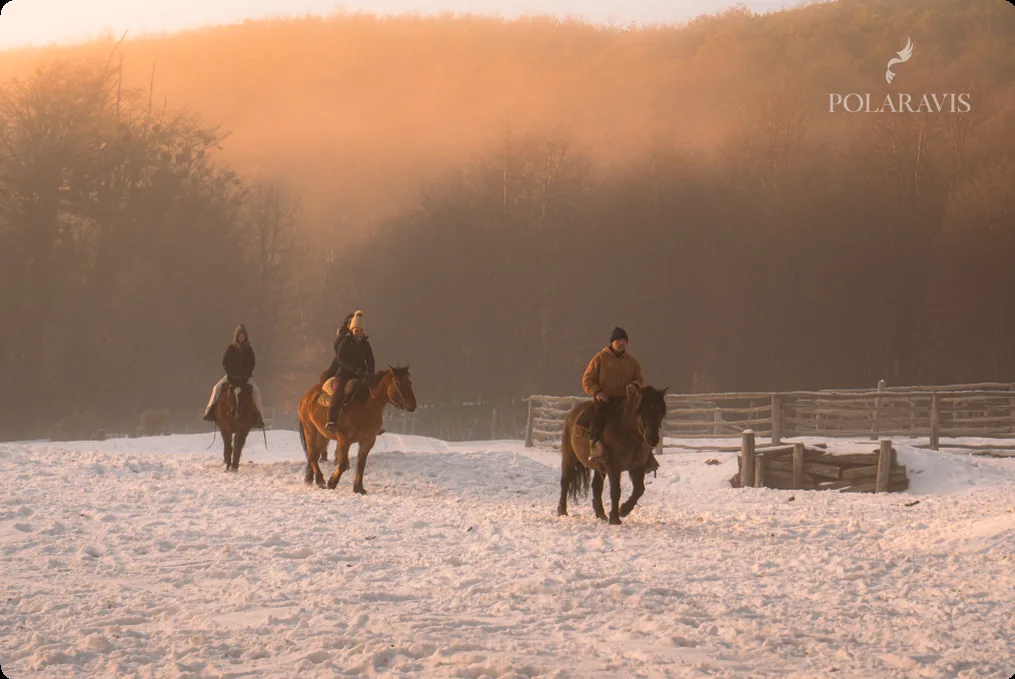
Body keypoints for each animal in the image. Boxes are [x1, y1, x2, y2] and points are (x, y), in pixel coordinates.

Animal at [557, 384, 668, 525]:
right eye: (641, 410)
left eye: (661, 412)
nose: (652, 440)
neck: (628, 433)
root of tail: (573, 413)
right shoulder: (614, 468)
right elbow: (616, 491)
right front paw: (615, 518)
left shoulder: (638, 468)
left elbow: (639, 489)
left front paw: (624, 510)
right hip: (569, 458)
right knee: (565, 481)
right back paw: (562, 510)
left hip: (599, 467)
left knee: (596, 486)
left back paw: (600, 514)